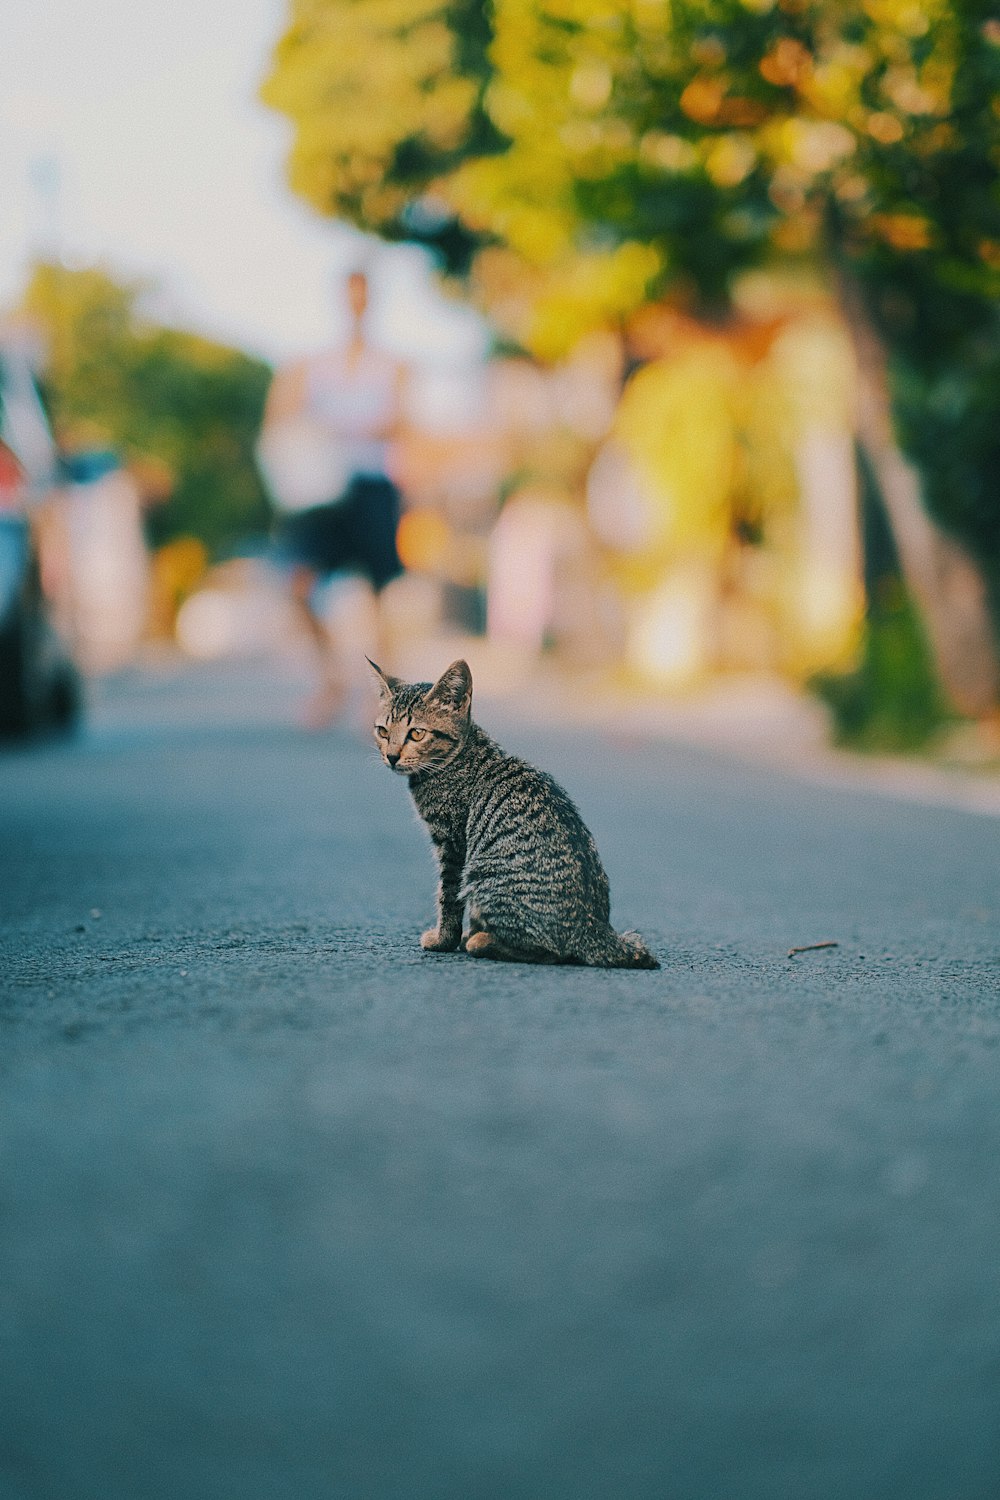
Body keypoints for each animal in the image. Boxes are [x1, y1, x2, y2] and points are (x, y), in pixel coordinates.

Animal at [367, 660, 656, 972]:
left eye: (417, 733)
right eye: (383, 731)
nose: (391, 756)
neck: (460, 756)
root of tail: (593, 926)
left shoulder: (454, 845)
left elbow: (448, 897)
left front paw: (444, 940)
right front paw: (464, 932)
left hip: (482, 872)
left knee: (551, 951)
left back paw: (482, 941)